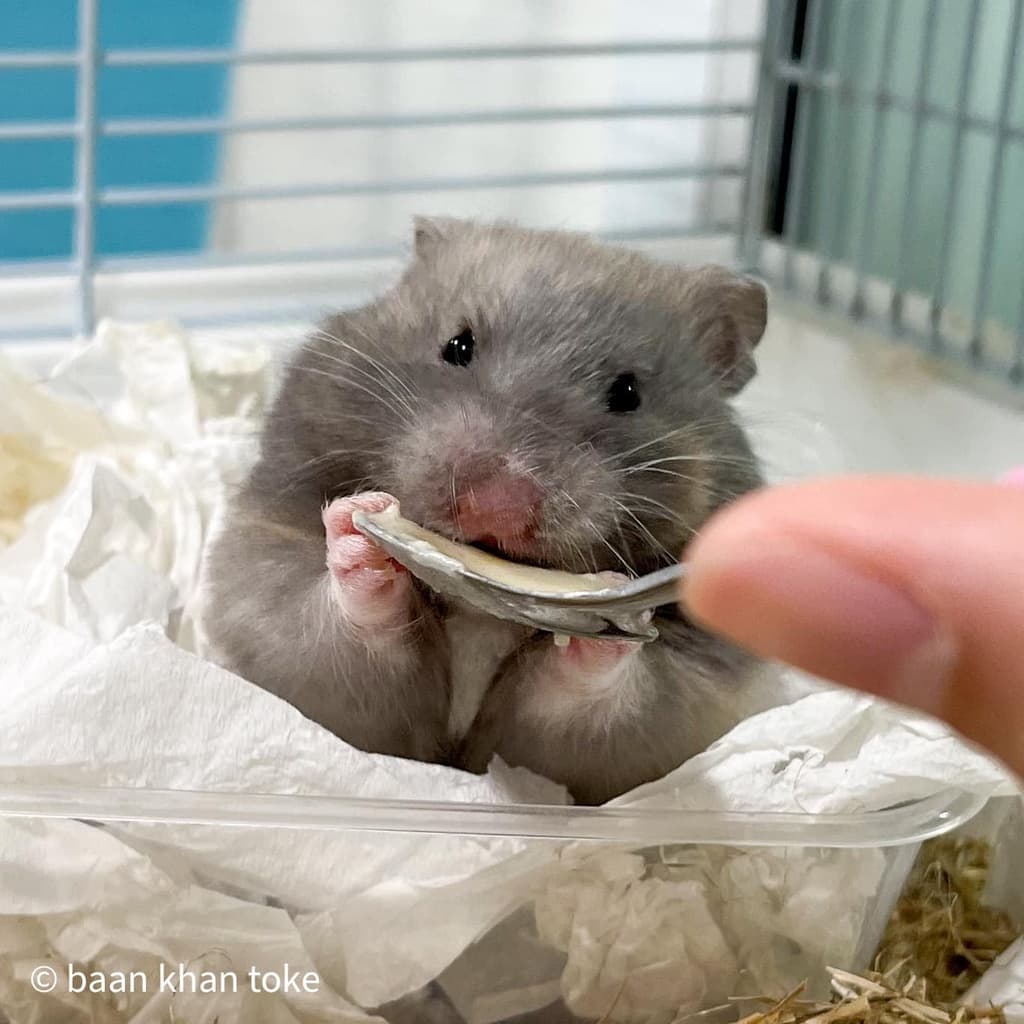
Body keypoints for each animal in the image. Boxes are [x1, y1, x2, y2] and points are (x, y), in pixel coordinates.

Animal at [202, 216, 783, 804]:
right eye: (458, 345)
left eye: (628, 392)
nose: (496, 505)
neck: (479, 613)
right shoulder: (290, 626)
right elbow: (337, 624)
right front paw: (360, 527)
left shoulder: (656, 712)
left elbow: (595, 696)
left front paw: (608, 618)